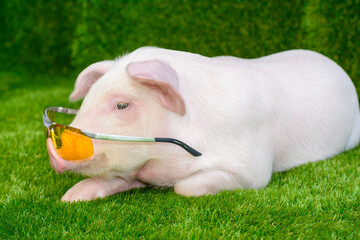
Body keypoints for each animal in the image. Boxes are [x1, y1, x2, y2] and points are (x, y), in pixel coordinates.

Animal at [45, 46, 360, 202]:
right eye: (87, 99)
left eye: (122, 105)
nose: (52, 147)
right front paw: (70, 198)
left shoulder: (253, 168)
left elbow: (186, 188)